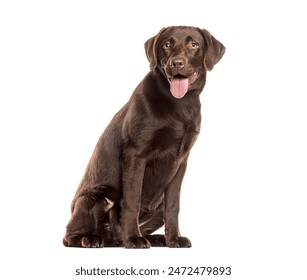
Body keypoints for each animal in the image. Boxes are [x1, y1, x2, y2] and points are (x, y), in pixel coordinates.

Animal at [63, 26, 226, 248]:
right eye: (166, 44)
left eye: (194, 44)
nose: (177, 63)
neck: (179, 104)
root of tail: (113, 238)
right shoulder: (135, 155)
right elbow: (132, 200)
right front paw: (134, 238)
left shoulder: (181, 161)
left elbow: (174, 206)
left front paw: (174, 239)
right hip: (98, 196)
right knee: (69, 235)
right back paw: (93, 238)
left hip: (156, 206)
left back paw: (156, 238)